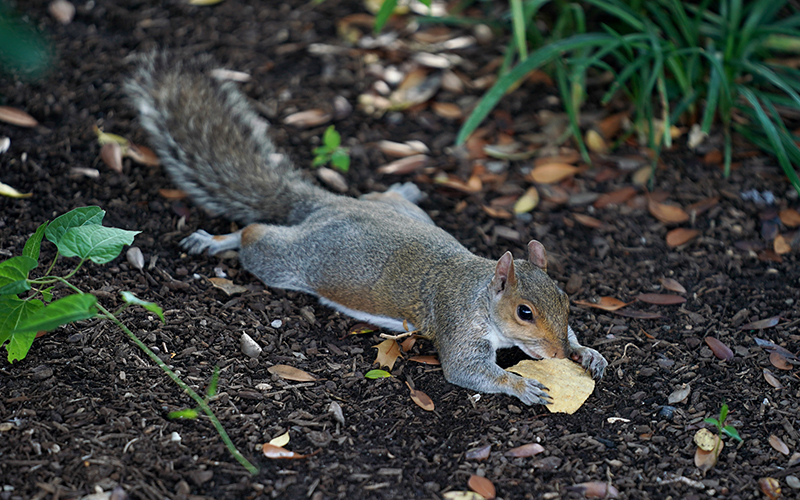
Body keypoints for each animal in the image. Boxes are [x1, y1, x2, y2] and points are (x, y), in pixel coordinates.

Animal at [125, 53, 608, 406]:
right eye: (525, 312)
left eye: (565, 300)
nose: (559, 354)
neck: (477, 287)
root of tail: (331, 205)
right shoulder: (458, 326)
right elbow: (466, 370)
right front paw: (523, 385)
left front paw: (588, 352)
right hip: (289, 261)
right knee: (254, 235)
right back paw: (217, 240)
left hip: (393, 211)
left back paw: (403, 188)